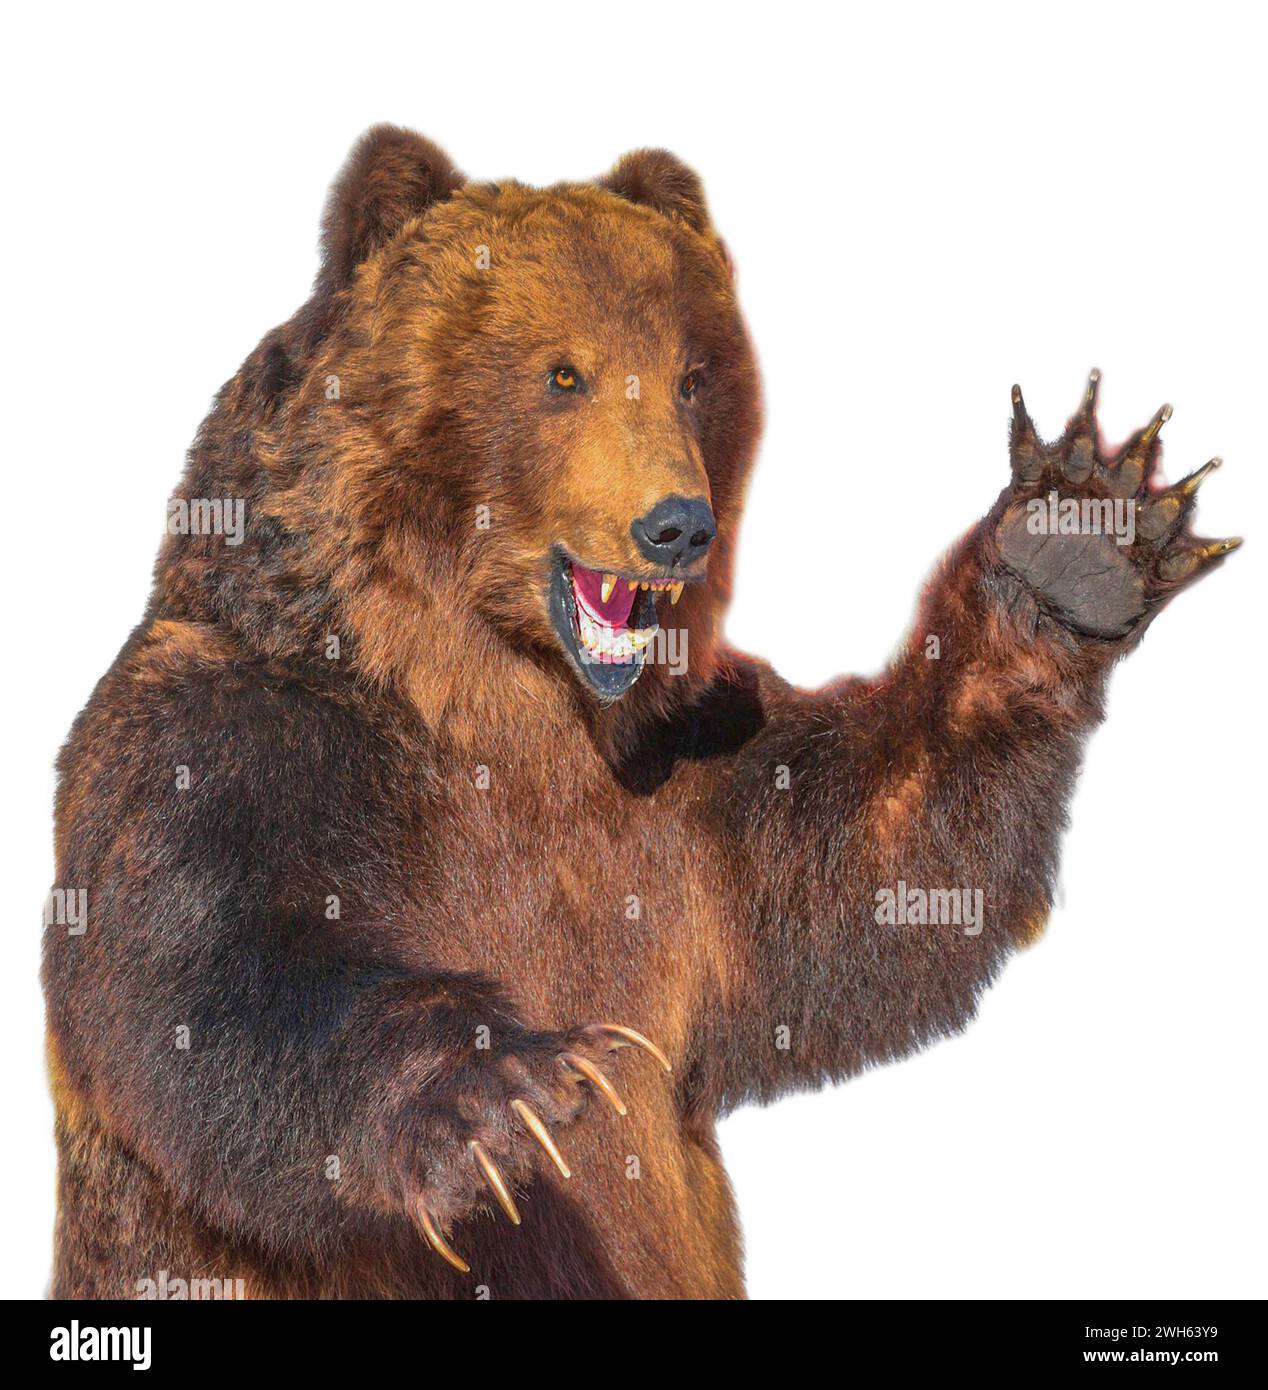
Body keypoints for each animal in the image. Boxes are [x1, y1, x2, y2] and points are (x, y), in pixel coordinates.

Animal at [43, 125, 1240, 1300]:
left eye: (692, 375)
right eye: (561, 372)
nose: (676, 526)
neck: (491, 693)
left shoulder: (683, 798)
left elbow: (856, 886)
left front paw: (1076, 536)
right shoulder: (235, 737)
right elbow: (208, 980)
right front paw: (502, 1095)